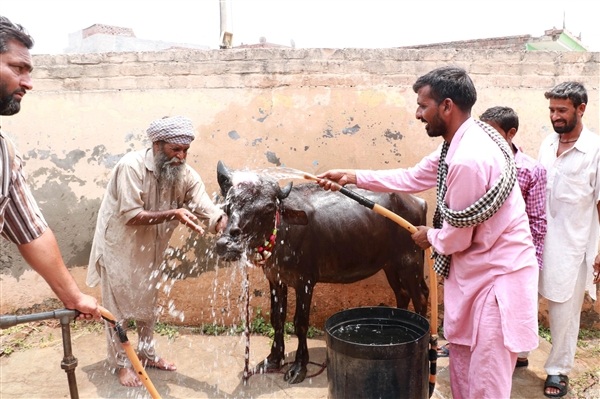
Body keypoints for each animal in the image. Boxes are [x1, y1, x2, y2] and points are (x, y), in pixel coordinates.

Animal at [213, 162, 428, 384]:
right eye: (228, 205)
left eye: (268, 208)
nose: (227, 244)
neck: (284, 233)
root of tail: (418, 202)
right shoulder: (275, 279)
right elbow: (277, 318)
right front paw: (273, 359)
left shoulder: (305, 282)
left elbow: (300, 323)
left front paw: (299, 367)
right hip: (391, 265)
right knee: (402, 294)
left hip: (410, 262)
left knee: (420, 297)